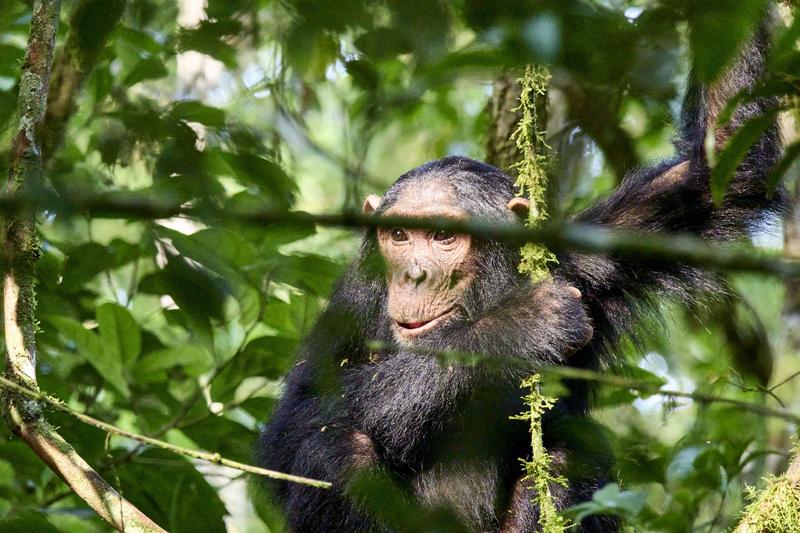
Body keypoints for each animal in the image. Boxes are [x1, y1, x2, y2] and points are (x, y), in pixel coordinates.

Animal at [255, 16, 780, 532]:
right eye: (399, 235)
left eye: (443, 236)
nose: (415, 274)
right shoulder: (354, 297)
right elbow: (299, 418)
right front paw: (522, 324)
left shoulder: (593, 257)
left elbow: (720, 168)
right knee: (337, 448)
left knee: (572, 447)